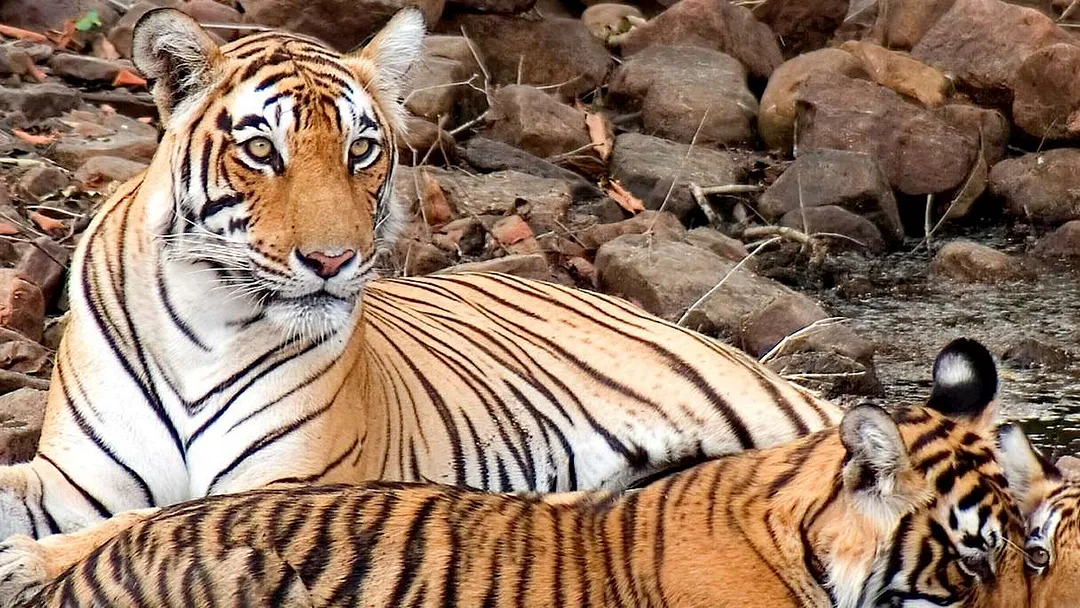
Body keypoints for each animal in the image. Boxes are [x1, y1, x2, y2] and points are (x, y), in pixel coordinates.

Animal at [0, 3, 843, 600]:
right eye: (261, 149)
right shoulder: (78, 478)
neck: (205, 319)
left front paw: (27, 561)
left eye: (361, 150)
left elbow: (147, 522)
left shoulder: (287, 485)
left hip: (765, 404)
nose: (333, 261)